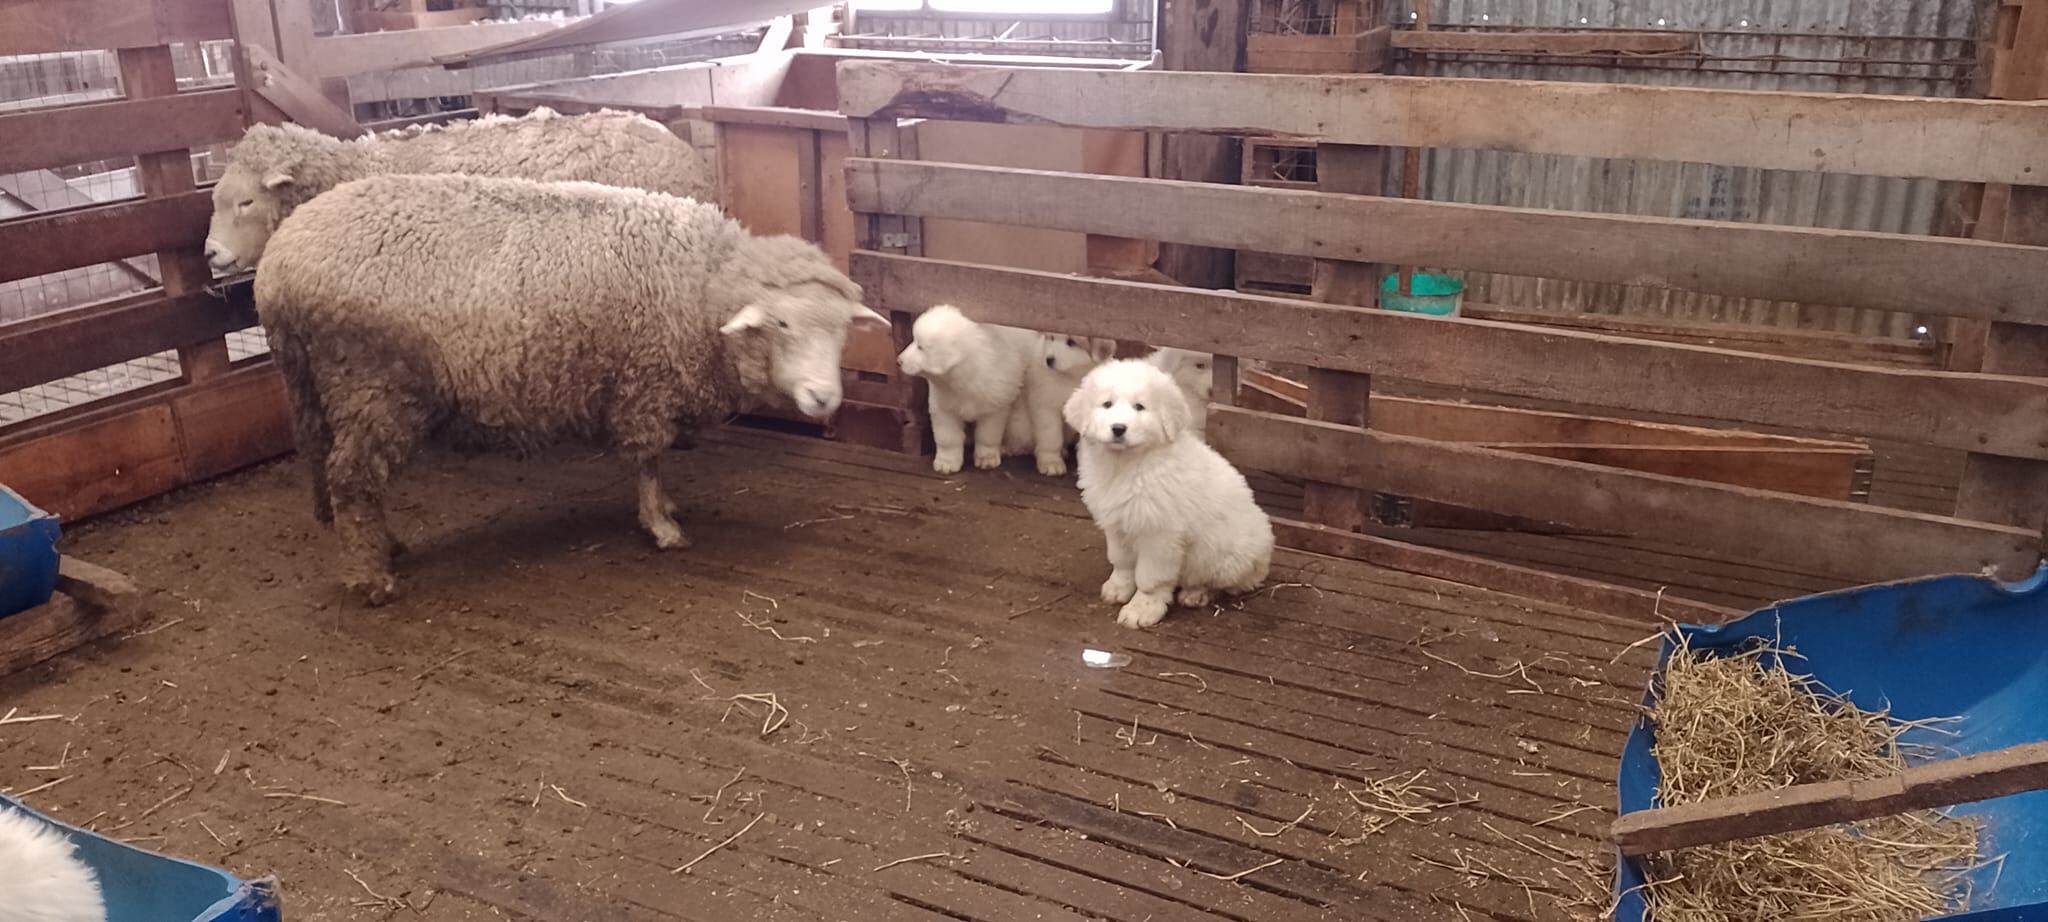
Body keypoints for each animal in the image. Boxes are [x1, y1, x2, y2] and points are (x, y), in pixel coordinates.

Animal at [254, 174, 884, 605]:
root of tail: (276, 266)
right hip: (371, 383)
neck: (704, 286)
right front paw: (661, 526)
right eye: (781, 324)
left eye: (843, 330)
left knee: (343, 476)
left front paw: (664, 509)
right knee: (352, 478)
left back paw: (384, 546)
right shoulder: (645, 381)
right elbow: (649, 459)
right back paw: (372, 578)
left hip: (325, 389)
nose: (825, 399)